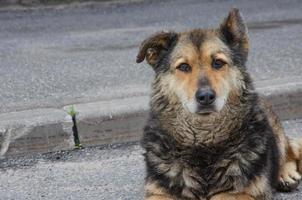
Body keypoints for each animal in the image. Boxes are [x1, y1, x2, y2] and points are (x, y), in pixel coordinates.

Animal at [136, 7, 302, 200]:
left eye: (218, 63)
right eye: (183, 67)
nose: (206, 96)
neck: (203, 144)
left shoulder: (240, 193)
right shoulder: (159, 193)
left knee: (287, 151)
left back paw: (285, 175)